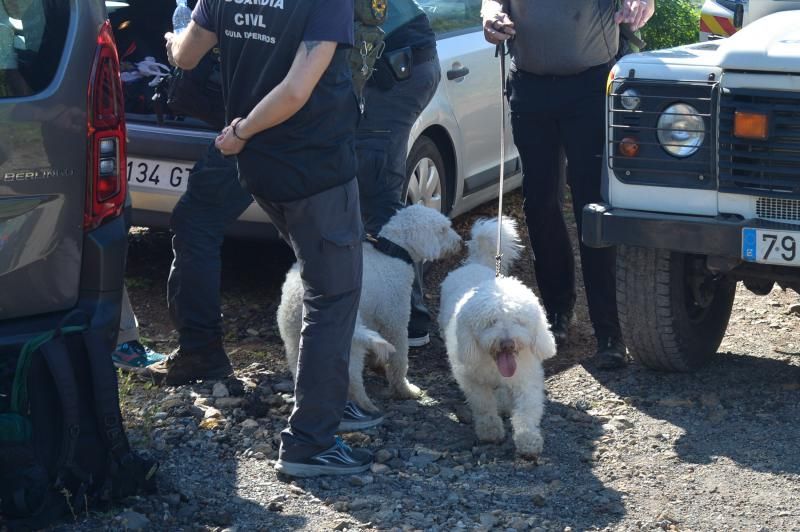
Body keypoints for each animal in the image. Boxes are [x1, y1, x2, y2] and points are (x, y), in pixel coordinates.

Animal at [280, 203, 462, 408]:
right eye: (443, 229)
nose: (460, 242)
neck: (392, 252)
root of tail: (298, 300)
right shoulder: (395, 322)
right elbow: (399, 360)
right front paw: (404, 390)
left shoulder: (374, 318)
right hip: (348, 341)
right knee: (351, 379)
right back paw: (365, 405)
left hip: (294, 339)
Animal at [438, 216, 556, 458]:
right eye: (491, 321)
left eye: (518, 320)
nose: (507, 343)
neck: (495, 366)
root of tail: (476, 264)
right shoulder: (472, 379)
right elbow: (483, 405)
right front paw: (490, 430)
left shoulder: (525, 377)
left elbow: (527, 410)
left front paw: (528, 440)